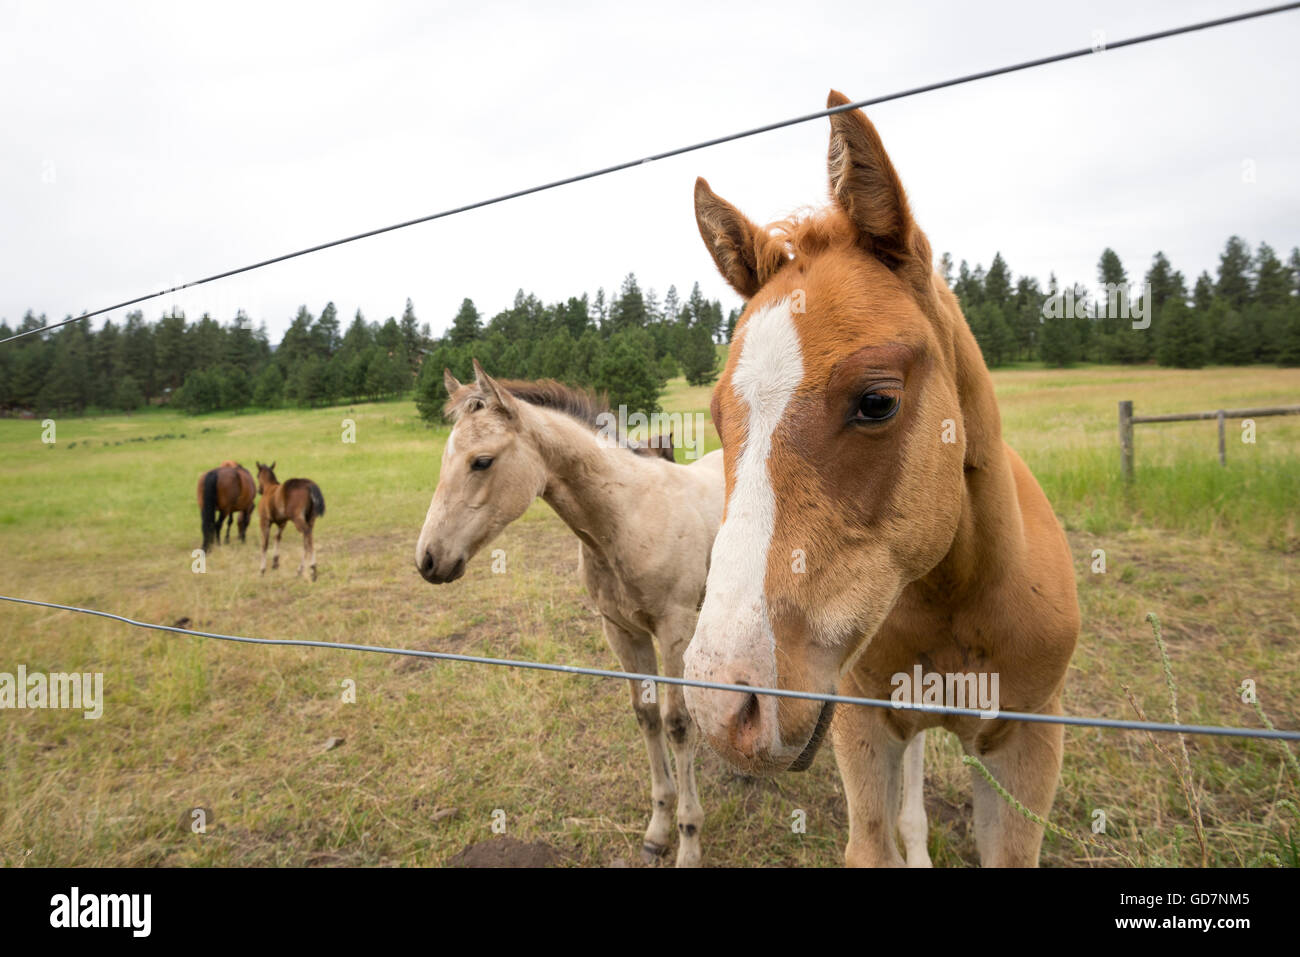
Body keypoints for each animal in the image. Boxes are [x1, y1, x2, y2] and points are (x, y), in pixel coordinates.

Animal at [416, 361, 728, 868]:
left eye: (481, 461)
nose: (428, 559)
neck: (628, 516)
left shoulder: (674, 628)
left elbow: (678, 724)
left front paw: (688, 841)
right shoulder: (621, 631)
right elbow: (646, 716)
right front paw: (658, 830)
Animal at [686, 91, 1081, 868]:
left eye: (876, 401)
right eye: (717, 416)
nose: (724, 707)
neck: (959, 592)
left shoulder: (1030, 744)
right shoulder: (862, 725)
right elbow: (879, 834)